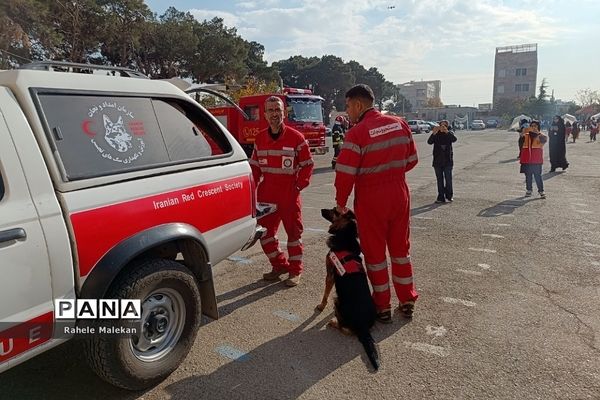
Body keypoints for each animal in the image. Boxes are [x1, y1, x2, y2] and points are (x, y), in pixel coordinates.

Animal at [316, 208, 378, 370]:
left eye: (335, 210)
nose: (321, 209)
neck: (345, 234)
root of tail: (363, 327)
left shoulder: (330, 275)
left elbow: (325, 293)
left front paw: (321, 306)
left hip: (337, 300)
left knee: (345, 328)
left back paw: (333, 323)